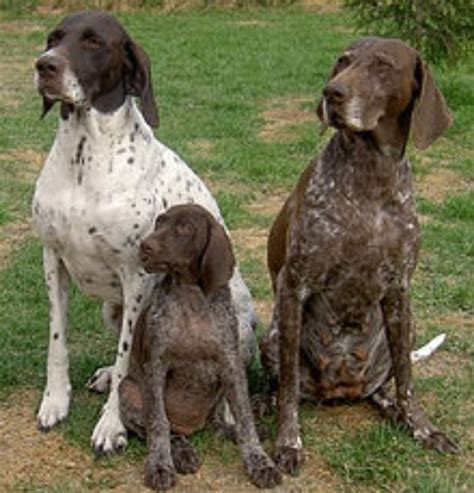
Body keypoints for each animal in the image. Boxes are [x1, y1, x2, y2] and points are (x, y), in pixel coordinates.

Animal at [118, 203, 282, 488]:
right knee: (161, 429)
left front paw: (259, 461)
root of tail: (191, 427)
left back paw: (228, 431)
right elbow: (158, 424)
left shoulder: (231, 366)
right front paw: (159, 465)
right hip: (128, 389)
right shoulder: (156, 367)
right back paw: (181, 450)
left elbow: (245, 419)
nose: (144, 246)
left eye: (185, 228)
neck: (191, 299)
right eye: (159, 222)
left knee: (217, 422)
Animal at [262, 36, 458, 474]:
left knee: (387, 384)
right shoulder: (294, 283)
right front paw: (288, 443)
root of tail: (342, 390)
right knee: (283, 386)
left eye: (383, 65)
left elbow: (406, 380)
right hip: (273, 334)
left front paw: (421, 426)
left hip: (405, 326)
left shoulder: (400, 289)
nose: (332, 92)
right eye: (343, 61)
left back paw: (392, 409)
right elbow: (287, 388)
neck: (370, 176)